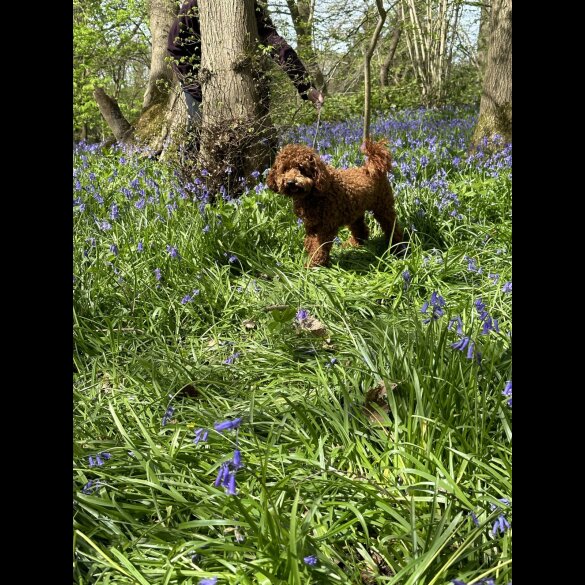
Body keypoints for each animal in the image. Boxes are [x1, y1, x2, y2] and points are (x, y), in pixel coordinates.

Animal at [266, 140, 404, 268]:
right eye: (284, 169)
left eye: (302, 168)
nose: (290, 182)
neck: (312, 194)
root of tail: (373, 167)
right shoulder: (311, 226)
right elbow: (311, 245)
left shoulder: (326, 226)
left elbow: (320, 247)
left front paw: (314, 265)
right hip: (355, 212)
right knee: (361, 230)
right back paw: (354, 245)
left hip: (383, 207)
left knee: (393, 228)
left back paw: (397, 248)